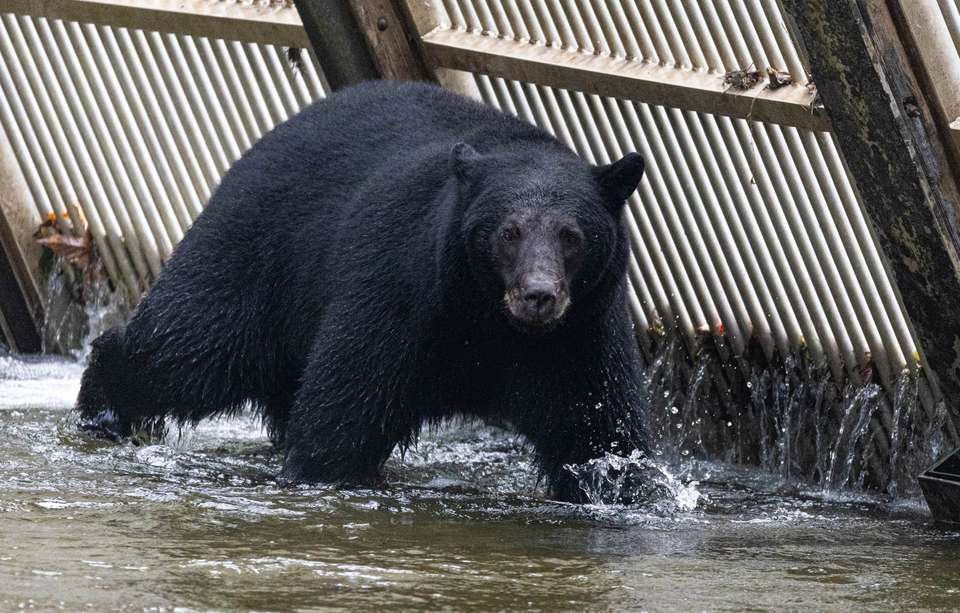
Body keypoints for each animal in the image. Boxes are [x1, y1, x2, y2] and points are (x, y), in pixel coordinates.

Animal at [76, 80, 648, 503]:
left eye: (572, 235)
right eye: (508, 232)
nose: (539, 295)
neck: (488, 321)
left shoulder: (581, 333)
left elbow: (598, 433)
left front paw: (617, 488)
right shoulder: (401, 288)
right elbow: (347, 402)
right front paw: (325, 470)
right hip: (259, 247)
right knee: (191, 345)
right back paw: (102, 411)